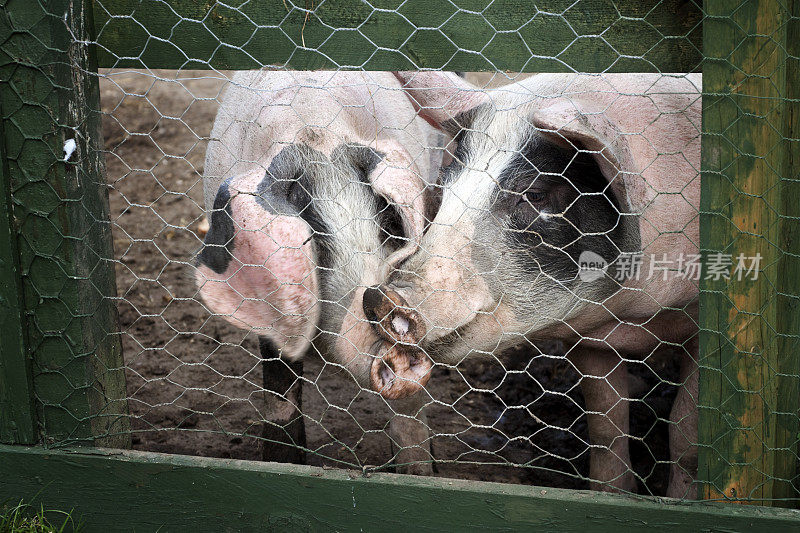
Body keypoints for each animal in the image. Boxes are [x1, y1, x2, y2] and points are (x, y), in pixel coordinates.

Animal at [195, 71, 444, 474]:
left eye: (387, 223)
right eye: (314, 241)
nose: (379, 300)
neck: (315, 130)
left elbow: (410, 416)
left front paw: (420, 474)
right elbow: (280, 396)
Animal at [362, 72, 700, 496]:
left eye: (535, 194)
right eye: (445, 184)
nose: (380, 296)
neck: (636, 317)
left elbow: (685, 433)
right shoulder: (589, 339)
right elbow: (605, 426)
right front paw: (611, 495)